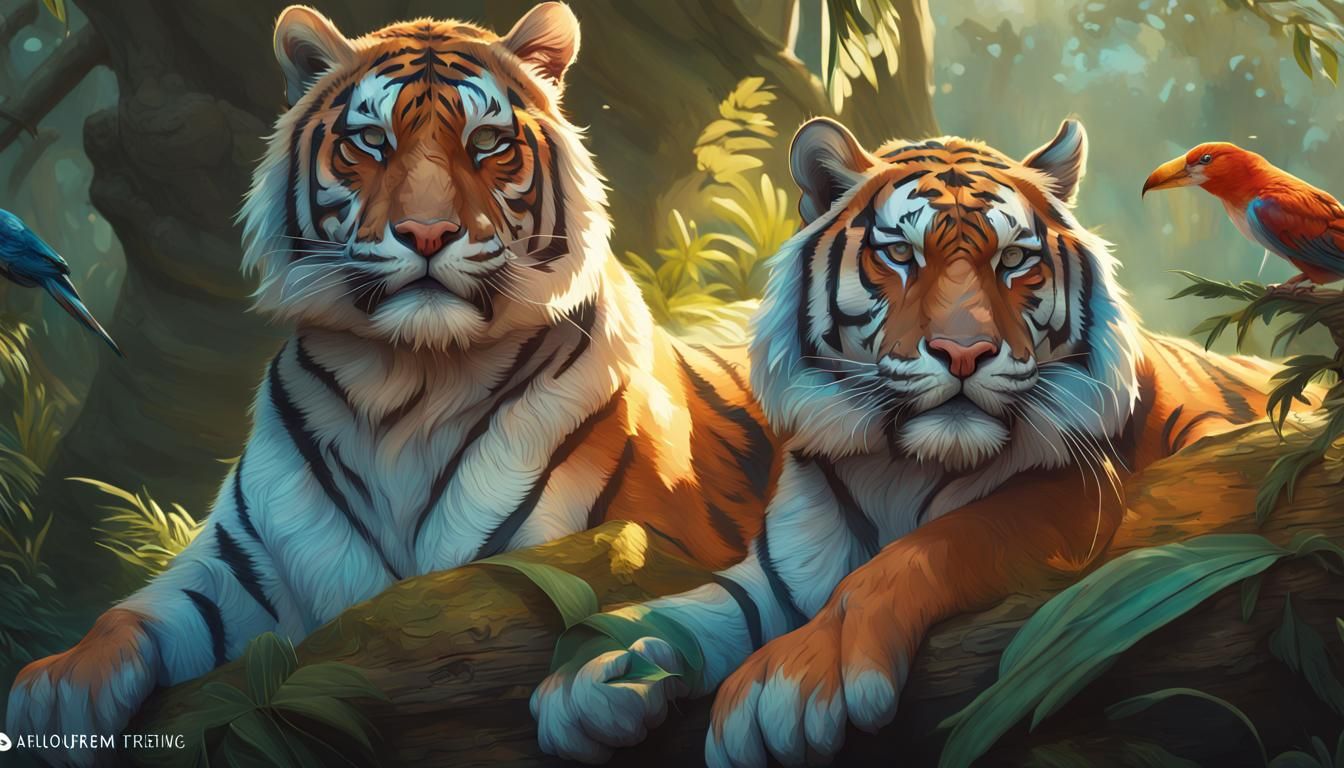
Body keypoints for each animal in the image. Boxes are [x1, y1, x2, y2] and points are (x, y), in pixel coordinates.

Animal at [5, 4, 775, 762]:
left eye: (488, 142)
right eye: (371, 141)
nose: (427, 233)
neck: (410, 382)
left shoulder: (620, 545)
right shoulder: (236, 567)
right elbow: (135, 613)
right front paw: (55, 692)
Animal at [530, 117, 1290, 766]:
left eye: (1014, 260)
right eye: (899, 254)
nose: (964, 352)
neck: (899, 466)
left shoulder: (1080, 499)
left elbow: (921, 550)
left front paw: (792, 684)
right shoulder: (779, 573)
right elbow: (705, 606)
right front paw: (601, 669)